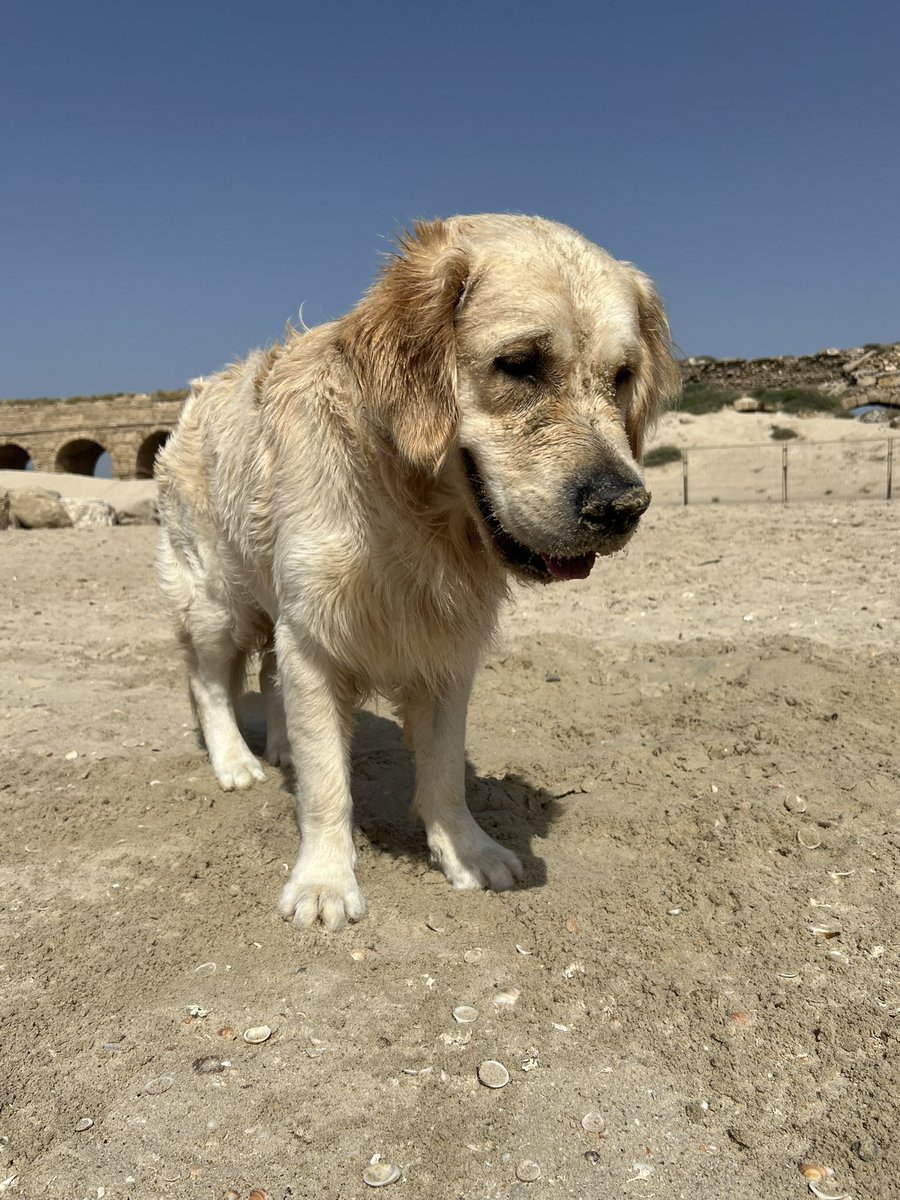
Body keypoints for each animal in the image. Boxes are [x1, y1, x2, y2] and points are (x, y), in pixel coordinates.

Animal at [157, 216, 676, 926]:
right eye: (520, 364)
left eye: (622, 376)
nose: (623, 506)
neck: (415, 515)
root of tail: (197, 391)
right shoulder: (313, 632)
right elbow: (327, 783)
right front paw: (324, 880)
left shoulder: (447, 647)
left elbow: (444, 770)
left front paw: (466, 851)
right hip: (216, 598)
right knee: (208, 682)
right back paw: (236, 761)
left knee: (265, 675)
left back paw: (281, 746)